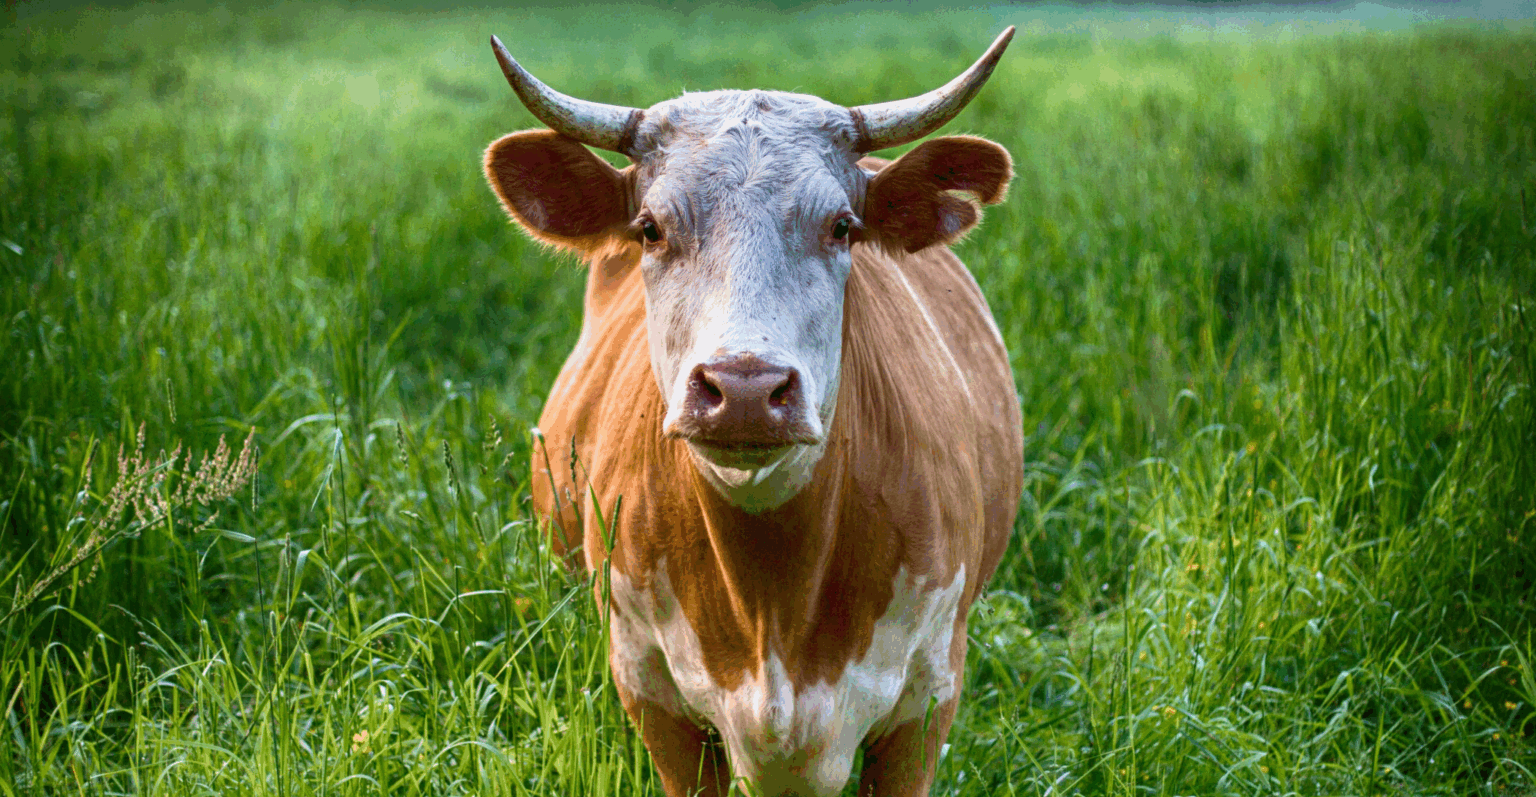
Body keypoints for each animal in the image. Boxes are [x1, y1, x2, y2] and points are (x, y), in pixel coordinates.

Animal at [483, 28, 1024, 797]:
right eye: (650, 228)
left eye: (842, 226)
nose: (743, 388)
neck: (773, 604)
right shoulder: (650, 690)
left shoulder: (928, 698)